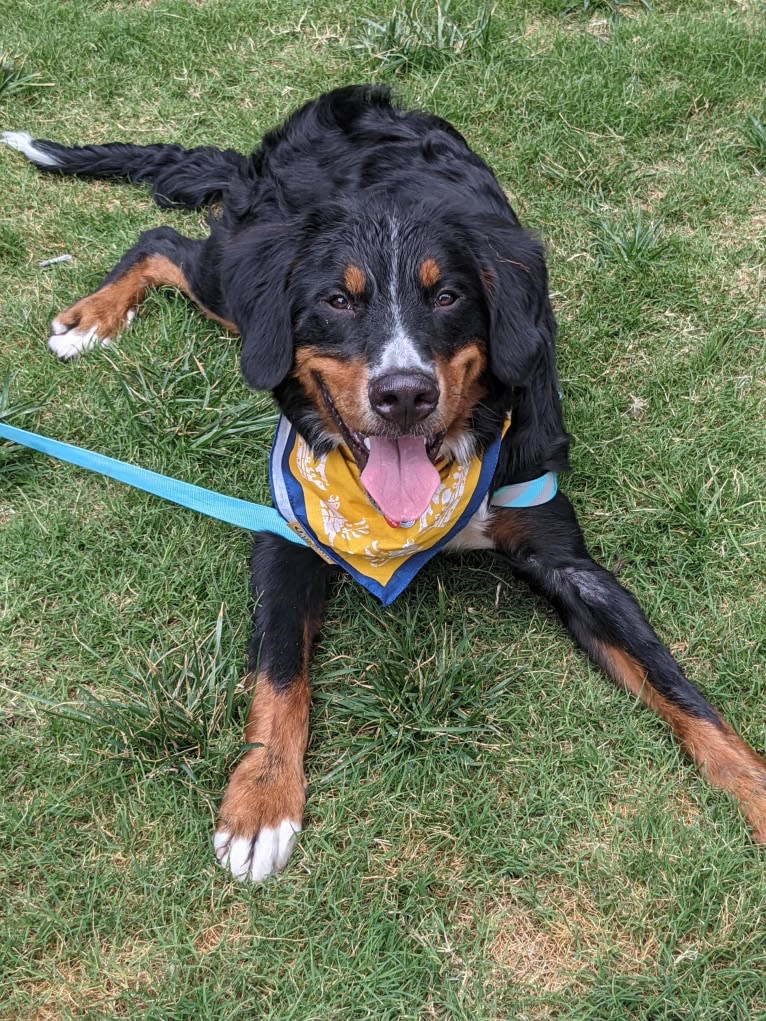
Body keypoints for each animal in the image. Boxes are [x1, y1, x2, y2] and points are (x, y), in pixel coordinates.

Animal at [3, 83, 763, 882]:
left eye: (448, 296)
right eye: (338, 301)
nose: (405, 394)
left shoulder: (568, 559)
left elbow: (680, 688)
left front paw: (757, 792)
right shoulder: (287, 534)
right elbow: (279, 675)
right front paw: (261, 798)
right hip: (238, 297)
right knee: (159, 241)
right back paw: (91, 317)